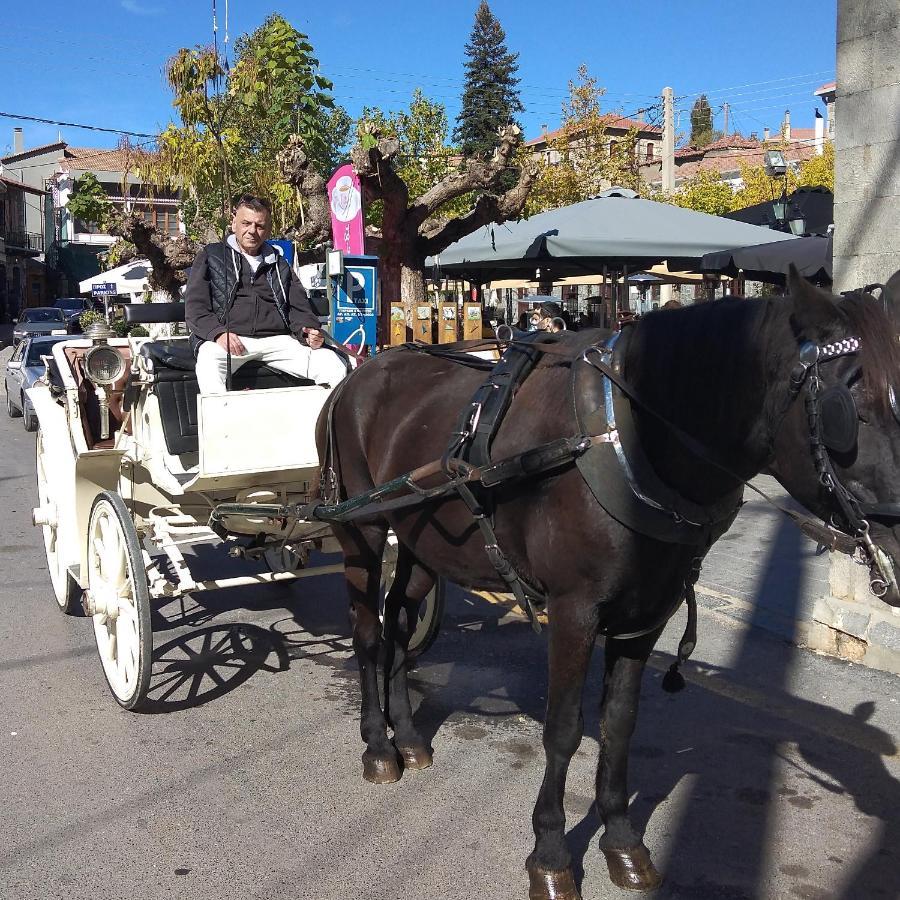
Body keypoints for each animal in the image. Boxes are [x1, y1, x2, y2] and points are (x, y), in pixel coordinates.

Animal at [314, 276, 900, 900]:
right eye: (850, 409)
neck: (628, 439)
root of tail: (358, 375)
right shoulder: (575, 611)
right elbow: (563, 729)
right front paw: (550, 854)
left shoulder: (648, 612)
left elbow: (619, 724)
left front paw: (621, 841)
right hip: (362, 533)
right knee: (367, 633)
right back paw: (378, 746)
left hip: (423, 543)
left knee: (400, 622)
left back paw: (408, 736)